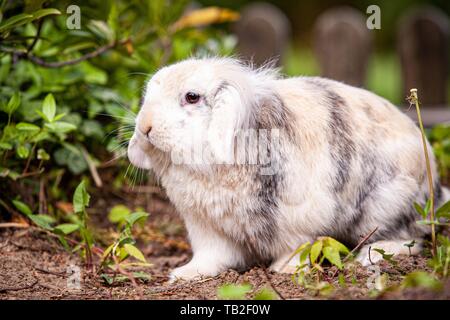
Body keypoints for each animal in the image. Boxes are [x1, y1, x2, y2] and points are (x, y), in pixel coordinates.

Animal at [126, 57, 446, 280]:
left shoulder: (298, 218)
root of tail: (434, 189)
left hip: (385, 207)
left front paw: (285, 269)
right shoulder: (206, 227)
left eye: (191, 97)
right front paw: (185, 274)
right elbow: (212, 255)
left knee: (407, 238)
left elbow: (296, 247)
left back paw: (371, 257)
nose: (145, 128)